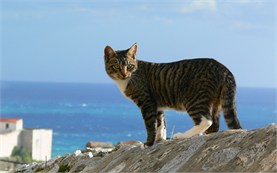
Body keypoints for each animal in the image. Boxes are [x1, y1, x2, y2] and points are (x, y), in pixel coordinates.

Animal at [103, 43, 242, 146]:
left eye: (130, 66)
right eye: (116, 66)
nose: (124, 74)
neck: (128, 79)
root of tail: (223, 68)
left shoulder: (147, 103)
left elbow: (150, 124)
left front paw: (149, 143)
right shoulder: (156, 104)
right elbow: (161, 123)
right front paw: (160, 139)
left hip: (193, 98)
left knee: (206, 120)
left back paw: (182, 135)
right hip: (216, 101)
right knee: (215, 124)